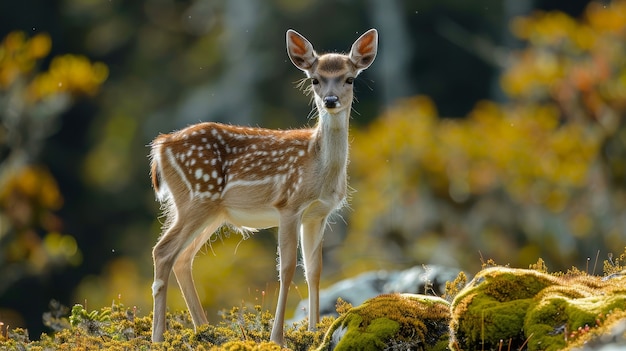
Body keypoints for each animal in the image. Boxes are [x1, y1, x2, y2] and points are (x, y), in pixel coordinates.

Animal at [149, 28, 378, 346]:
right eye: (314, 79)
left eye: (350, 78)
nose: (330, 100)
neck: (318, 167)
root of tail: (160, 146)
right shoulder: (289, 205)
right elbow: (287, 268)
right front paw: (278, 337)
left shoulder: (318, 214)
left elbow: (315, 270)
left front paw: (314, 332)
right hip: (196, 198)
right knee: (163, 251)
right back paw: (159, 338)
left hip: (211, 212)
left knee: (183, 258)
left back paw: (206, 331)